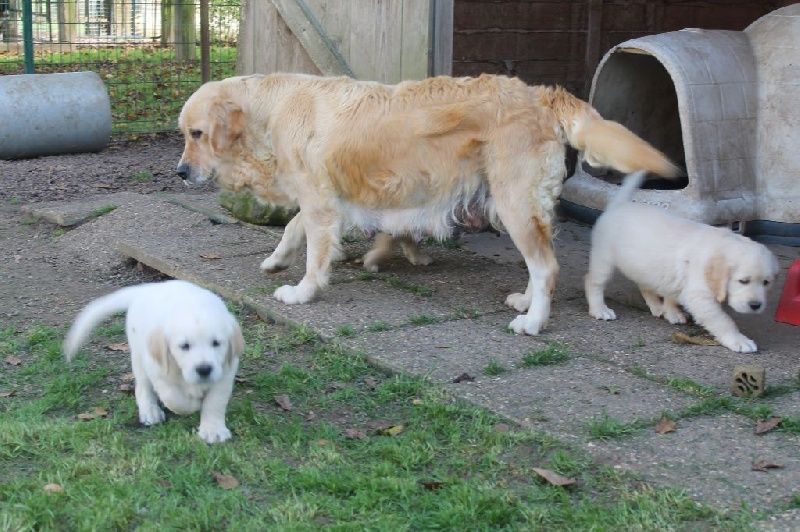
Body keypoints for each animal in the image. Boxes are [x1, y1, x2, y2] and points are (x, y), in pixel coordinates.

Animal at [63, 280, 244, 443]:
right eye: (184, 346)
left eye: (216, 343)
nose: (204, 369)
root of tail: (148, 288)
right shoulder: (158, 370)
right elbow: (175, 399)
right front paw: (193, 404)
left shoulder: (225, 372)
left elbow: (215, 403)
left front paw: (214, 430)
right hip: (138, 356)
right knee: (142, 387)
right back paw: (150, 411)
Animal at [176, 72, 678, 336]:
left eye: (195, 133)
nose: (179, 172)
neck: (273, 106)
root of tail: (541, 94)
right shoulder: (323, 198)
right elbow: (292, 227)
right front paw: (276, 260)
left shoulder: (319, 200)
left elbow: (315, 250)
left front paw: (303, 291)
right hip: (519, 203)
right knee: (540, 261)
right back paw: (524, 301)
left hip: (512, 200)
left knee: (547, 265)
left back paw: (533, 322)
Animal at [585, 171, 780, 353]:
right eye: (743, 281)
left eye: (766, 282)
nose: (756, 305)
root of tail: (618, 205)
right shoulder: (699, 297)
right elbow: (723, 320)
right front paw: (739, 340)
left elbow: (671, 294)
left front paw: (672, 312)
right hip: (604, 259)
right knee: (592, 281)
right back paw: (600, 310)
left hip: (643, 266)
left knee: (644, 285)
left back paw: (656, 307)